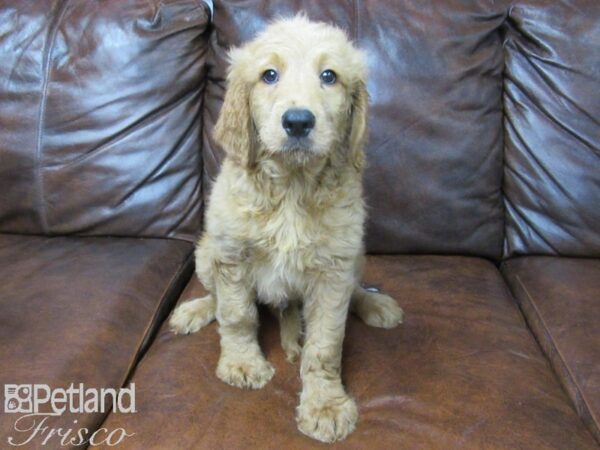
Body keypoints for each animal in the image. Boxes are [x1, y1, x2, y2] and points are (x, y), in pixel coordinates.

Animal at [169, 14, 404, 442]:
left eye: (329, 76)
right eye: (269, 75)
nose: (297, 122)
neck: (292, 188)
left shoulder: (333, 270)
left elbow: (325, 343)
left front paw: (324, 404)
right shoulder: (231, 254)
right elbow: (237, 315)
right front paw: (243, 364)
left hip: (355, 256)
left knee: (355, 290)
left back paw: (374, 303)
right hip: (205, 253)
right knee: (215, 296)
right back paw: (195, 310)